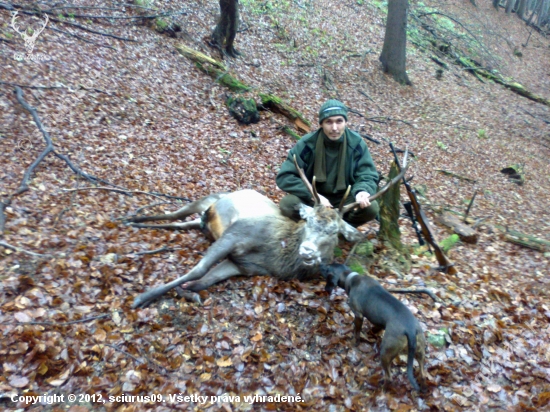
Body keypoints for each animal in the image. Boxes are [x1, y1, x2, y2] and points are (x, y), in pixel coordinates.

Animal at [127, 151, 408, 306]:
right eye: (308, 221)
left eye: (333, 233)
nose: (307, 251)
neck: (277, 253)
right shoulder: (236, 233)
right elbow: (198, 270)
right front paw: (143, 297)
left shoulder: (243, 266)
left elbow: (201, 282)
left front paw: (187, 293)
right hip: (210, 199)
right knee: (177, 212)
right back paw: (131, 218)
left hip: (203, 222)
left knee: (184, 222)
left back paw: (136, 221)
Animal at [322, 262, 430, 392]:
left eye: (327, 270)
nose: (321, 265)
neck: (351, 278)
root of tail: (410, 330)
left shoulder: (358, 315)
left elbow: (356, 331)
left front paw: (354, 342)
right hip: (419, 351)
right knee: (423, 374)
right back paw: (423, 389)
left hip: (386, 352)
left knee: (389, 377)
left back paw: (381, 390)